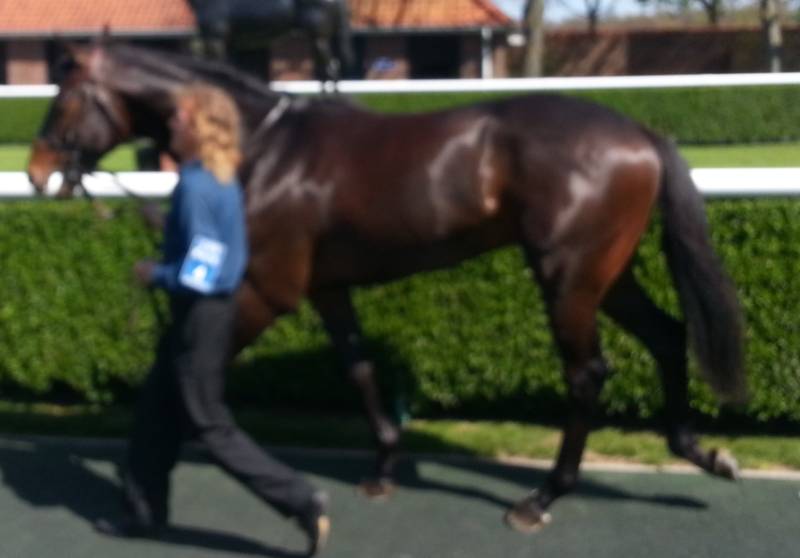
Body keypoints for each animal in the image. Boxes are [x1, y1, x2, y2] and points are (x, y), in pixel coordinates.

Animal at [27, 42, 746, 533]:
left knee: (587, 374)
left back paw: (541, 498)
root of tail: (641, 135)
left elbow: (185, 377)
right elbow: (360, 369)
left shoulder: (265, 290)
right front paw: (381, 469)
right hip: (606, 275)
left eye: (63, 96)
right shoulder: (326, 287)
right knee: (668, 336)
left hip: (567, 277)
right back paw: (702, 451)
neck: (263, 150)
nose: (35, 172)